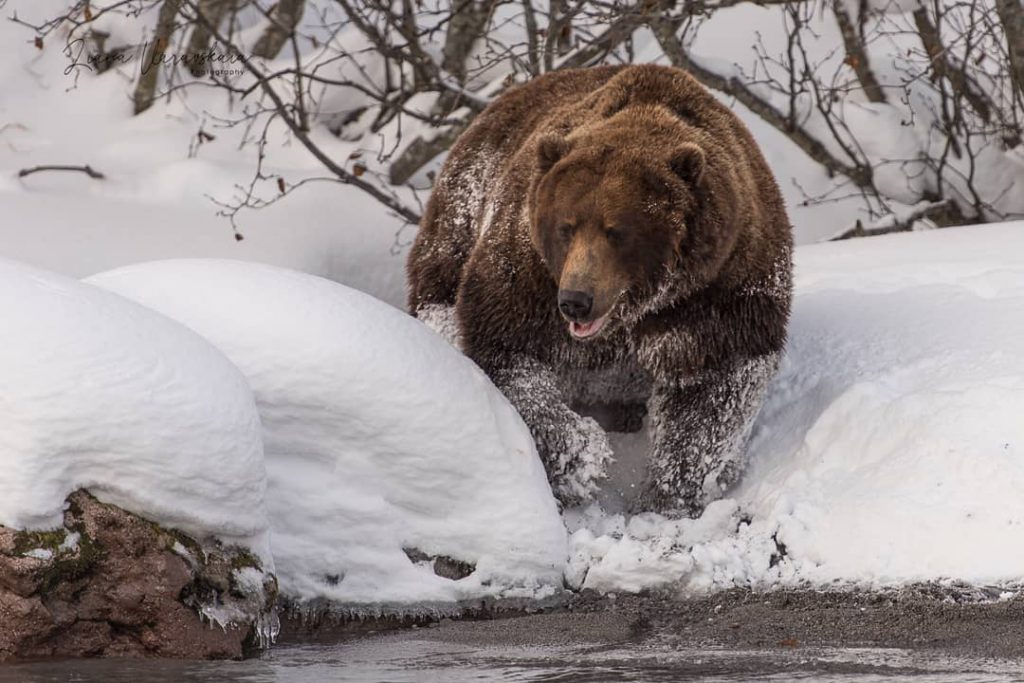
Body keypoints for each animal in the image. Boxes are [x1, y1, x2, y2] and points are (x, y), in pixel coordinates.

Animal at [405, 63, 790, 516]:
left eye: (617, 230)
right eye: (565, 226)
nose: (576, 301)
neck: (635, 313)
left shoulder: (718, 288)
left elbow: (714, 387)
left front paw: (672, 489)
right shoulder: (527, 274)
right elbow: (508, 354)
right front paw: (581, 457)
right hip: (461, 213)